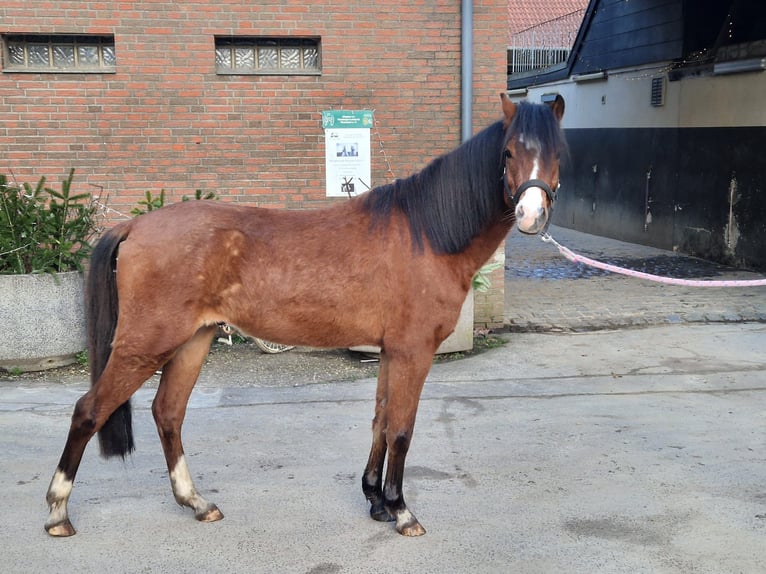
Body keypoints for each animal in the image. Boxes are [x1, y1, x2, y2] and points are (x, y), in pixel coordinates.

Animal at [45, 93, 566, 538]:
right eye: (508, 153)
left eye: (559, 153)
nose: (531, 214)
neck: (426, 234)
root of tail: (134, 225)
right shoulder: (413, 351)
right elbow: (401, 429)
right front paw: (401, 511)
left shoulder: (390, 352)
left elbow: (380, 420)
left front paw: (376, 501)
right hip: (145, 344)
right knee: (89, 411)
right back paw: (58, 513)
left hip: (194, 340)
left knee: (168, 413)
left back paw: (197, 502)